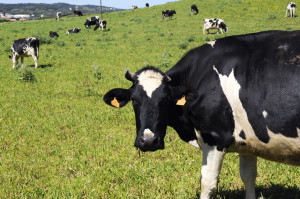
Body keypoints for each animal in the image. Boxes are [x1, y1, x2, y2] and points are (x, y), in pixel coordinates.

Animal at [103, 29, 300, 199]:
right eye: (134, 100)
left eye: (165, 100)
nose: (149, 141)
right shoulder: (248, 139)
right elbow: (249, 176)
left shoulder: (214, 137)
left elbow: (208, 182)